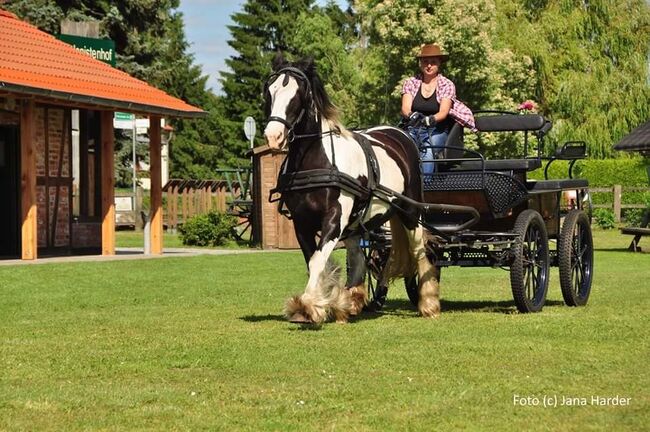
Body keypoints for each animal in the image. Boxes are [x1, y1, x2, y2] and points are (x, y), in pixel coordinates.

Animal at [264, 57, 440, 326]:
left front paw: (309, 305)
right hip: (357, 223)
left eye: (297, 95)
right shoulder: (301, 223)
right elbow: (314, 261)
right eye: (270, 92)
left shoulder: (334, 219)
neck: (316, 161)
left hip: (410, 211)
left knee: (419, 250)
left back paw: (428, 302)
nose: (273, 136)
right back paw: (352, 302)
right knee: (359, 259)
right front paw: (326, 303)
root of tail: (402, 134)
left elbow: (318, 260)